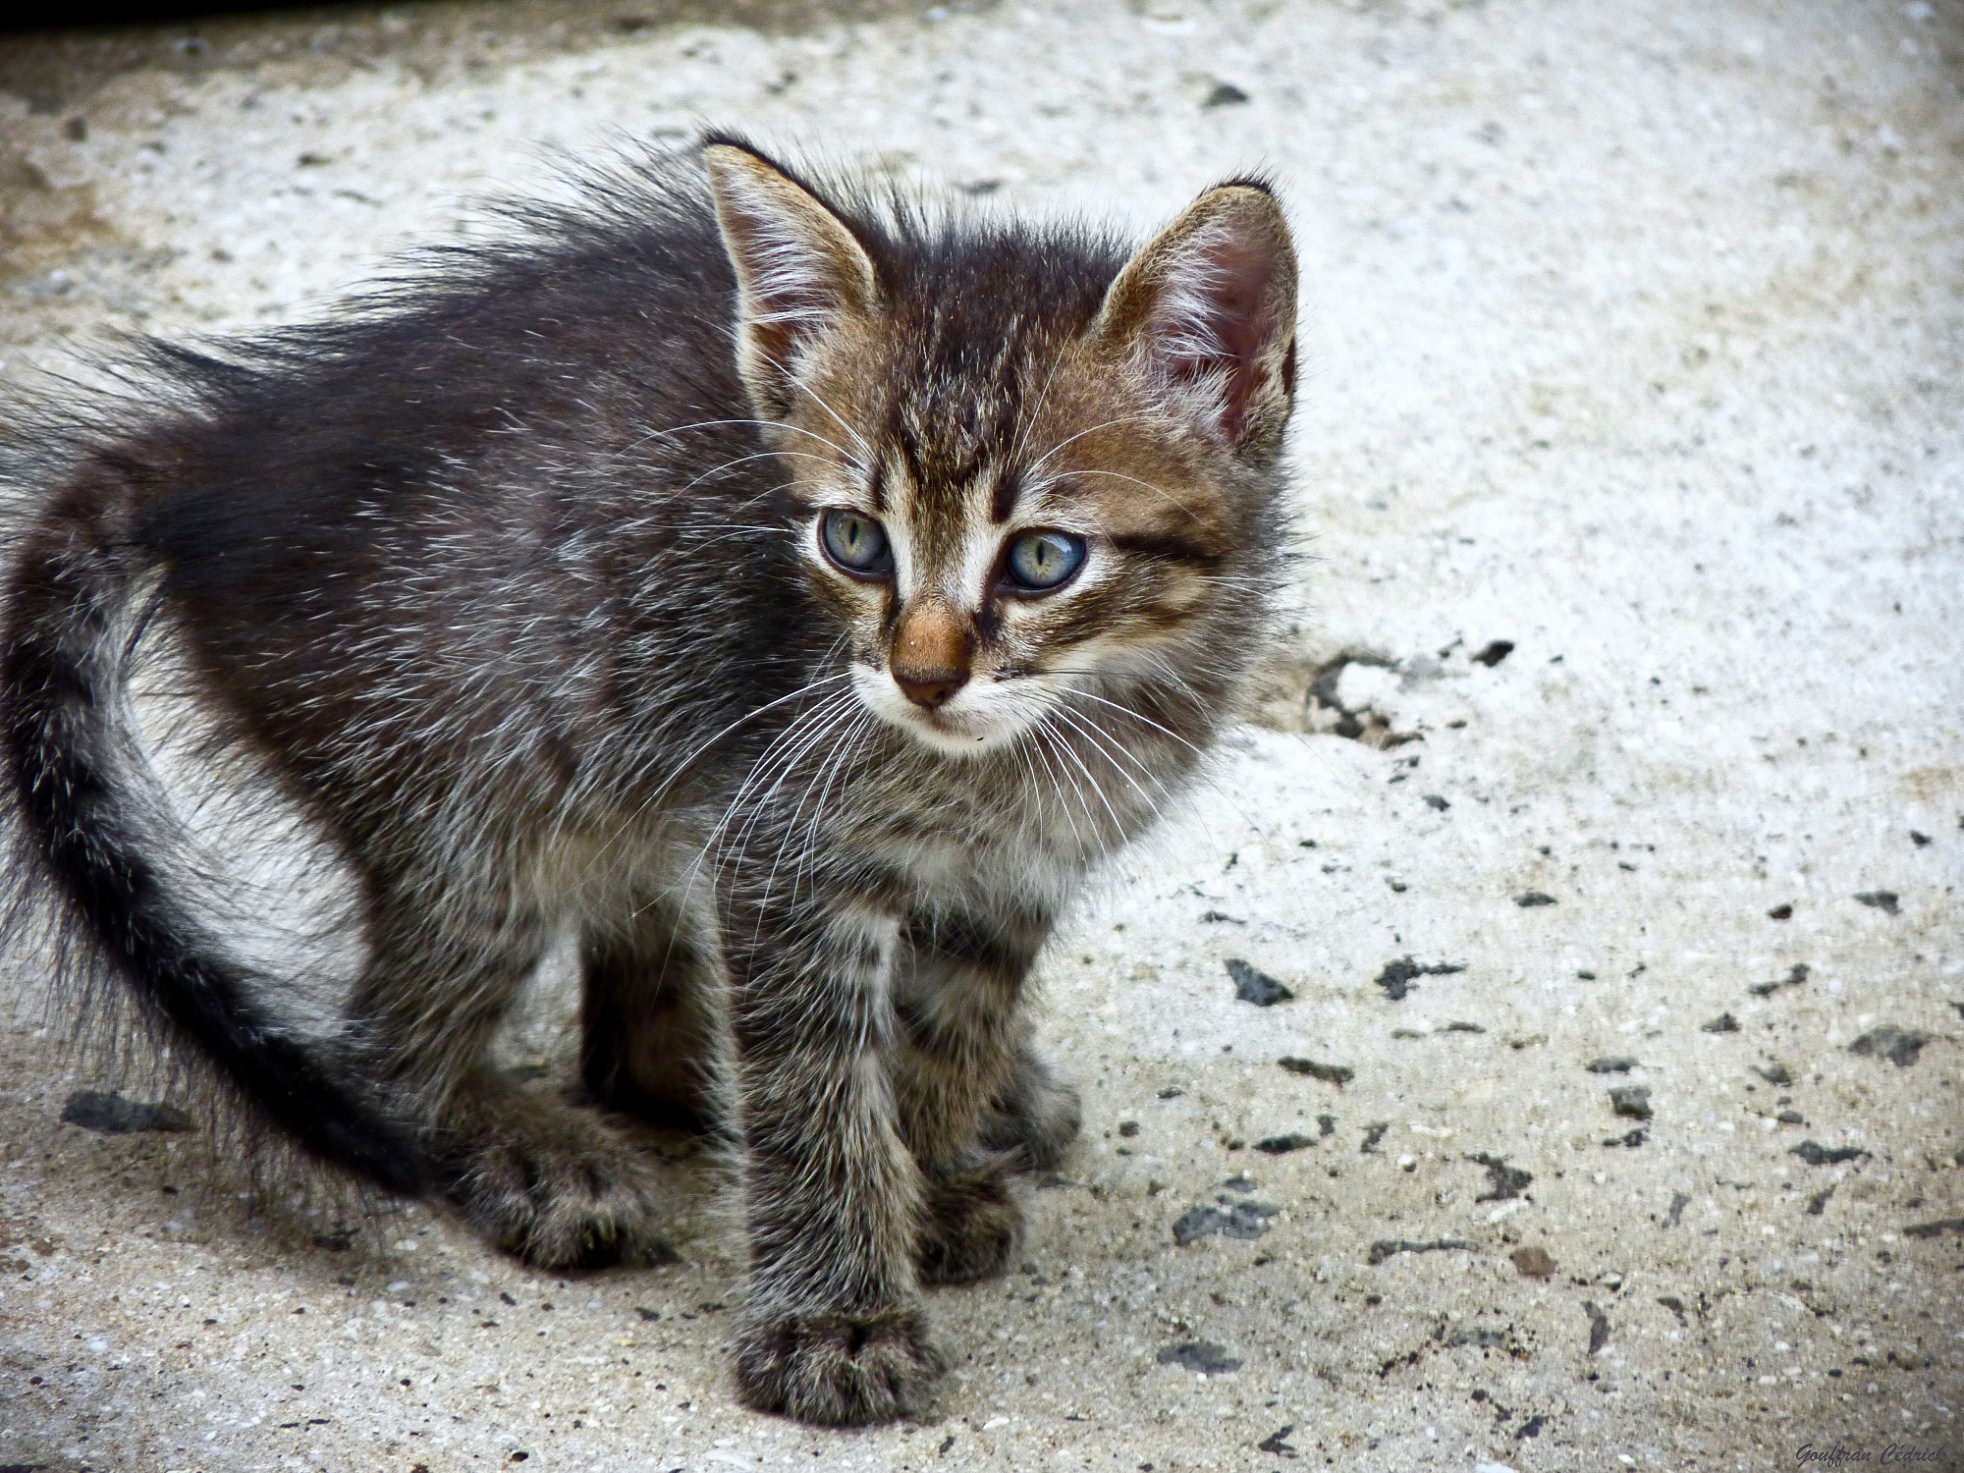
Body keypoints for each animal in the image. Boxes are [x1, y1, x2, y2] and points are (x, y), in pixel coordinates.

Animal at [0, 132, 1296, 1421]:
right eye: (852, 541)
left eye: (1040, 560)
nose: (920, 678)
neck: (1046, 733)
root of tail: (224, 455)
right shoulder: (779, 845)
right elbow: (810, 1090)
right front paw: (838, 1316)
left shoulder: (1011, 874)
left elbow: (947, 1030)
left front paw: (929, 1171)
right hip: (484, 781)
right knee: (387, 1051)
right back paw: (528, 1150)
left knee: (638, 1030)